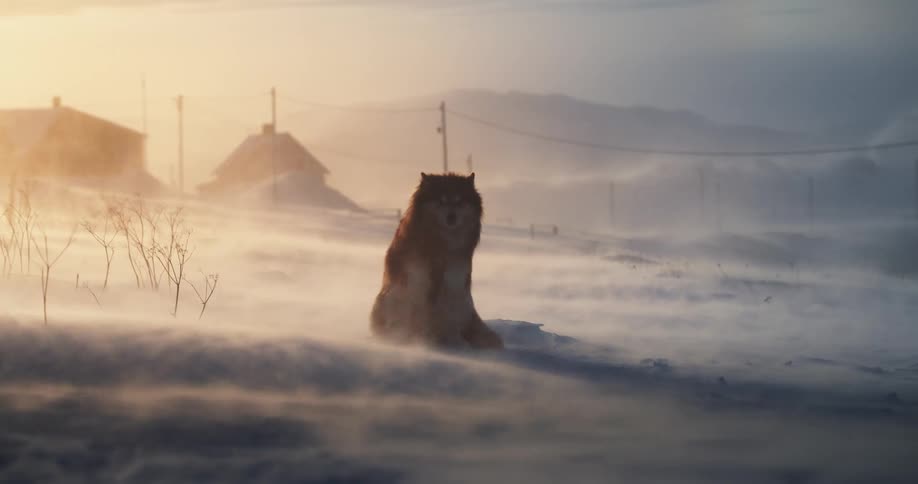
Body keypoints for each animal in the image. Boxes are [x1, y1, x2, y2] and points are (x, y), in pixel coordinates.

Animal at [370, 172, 503, 349]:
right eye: (441, 200)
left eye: (459, 201)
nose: (451, 217)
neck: (442, 244)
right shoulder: (421, 283)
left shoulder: (453, 283)